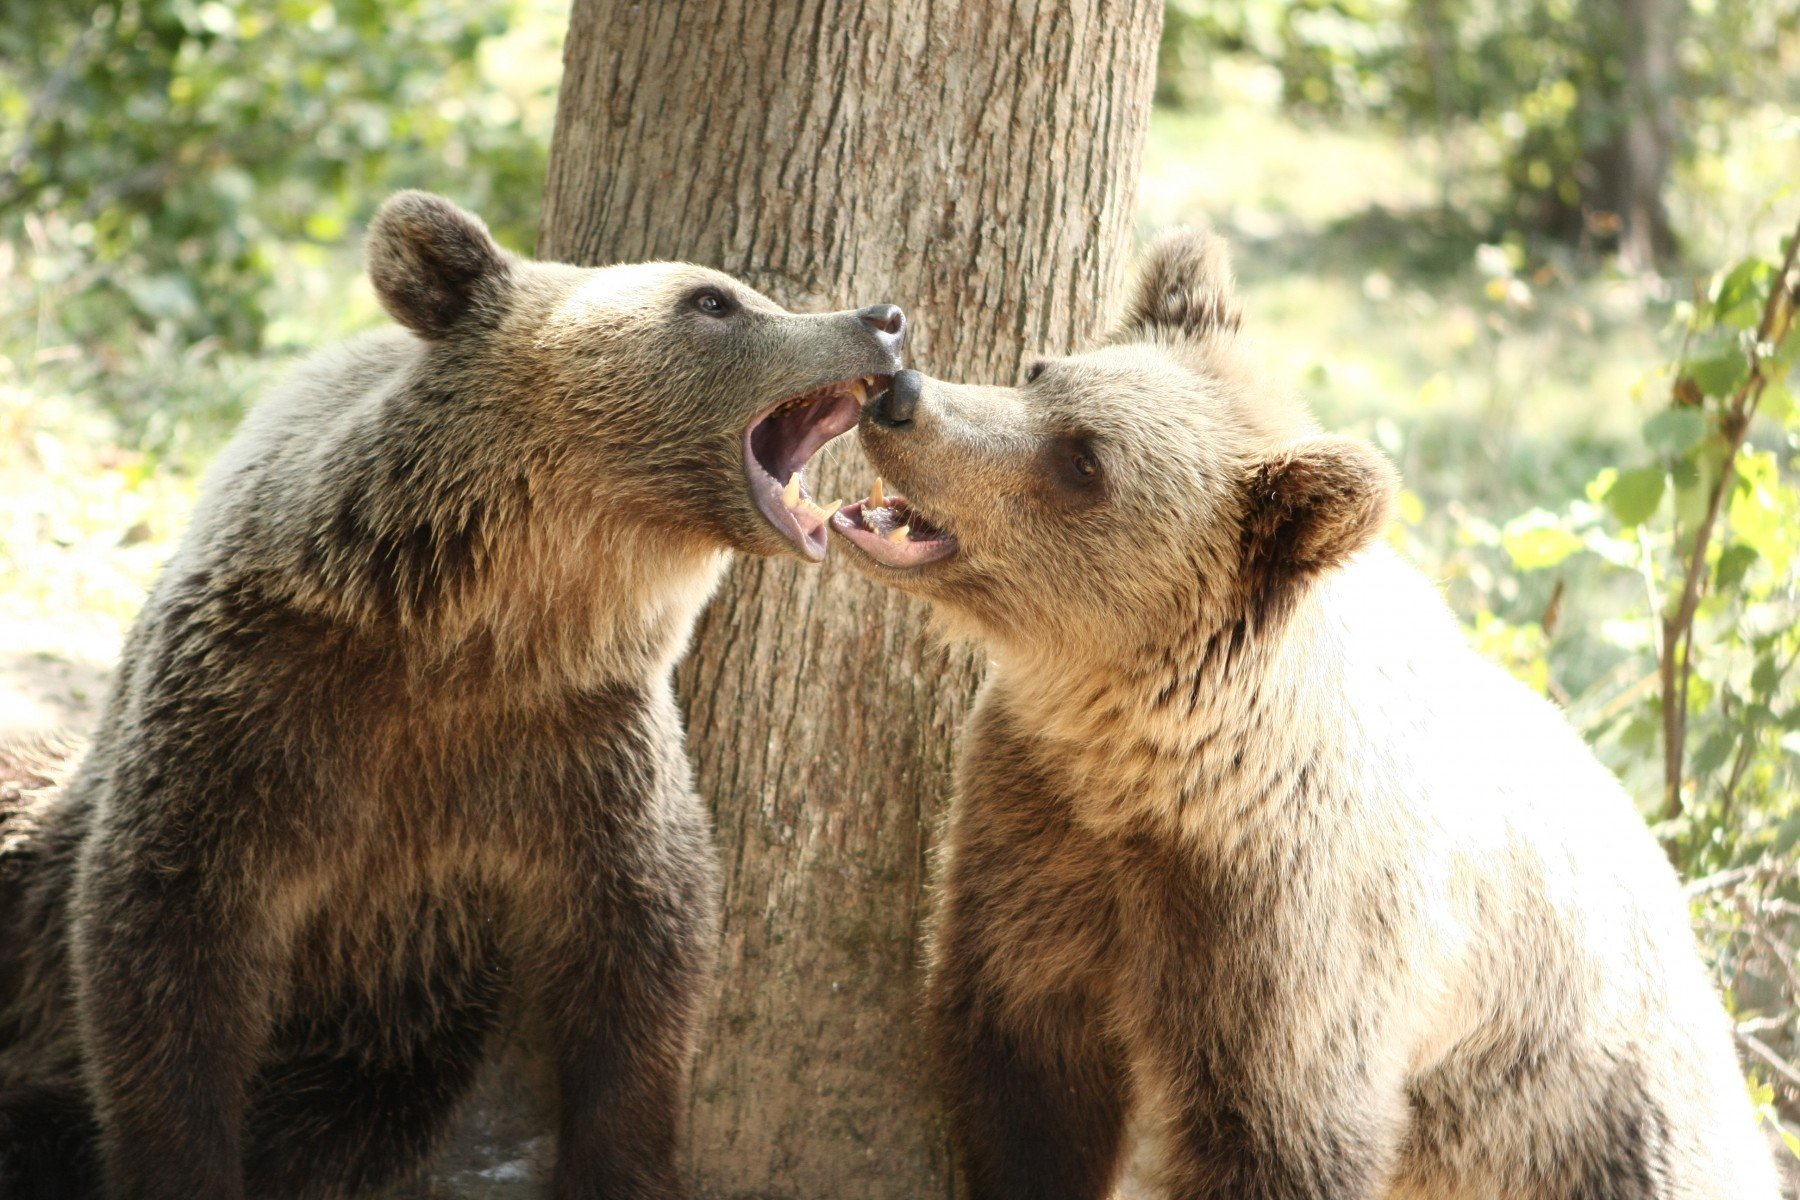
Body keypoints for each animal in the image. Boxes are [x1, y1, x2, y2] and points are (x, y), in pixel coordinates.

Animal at [0, 192, 900, 1194]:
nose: (884, 319)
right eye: (713, 300)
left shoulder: (576, 750)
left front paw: (620, 1161)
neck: (474, 629)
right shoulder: (251, 708)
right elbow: (165, 951)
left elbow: (642, 953)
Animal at [831, 233, 1785, 1200]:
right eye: (1041, 370)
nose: (902, 399)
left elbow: (1278, 1136)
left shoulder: (1292, 934)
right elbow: (1022, 1070)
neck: (1155, 770)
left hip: (1587, 1117)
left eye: (1084, 461)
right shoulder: (1037, 832)